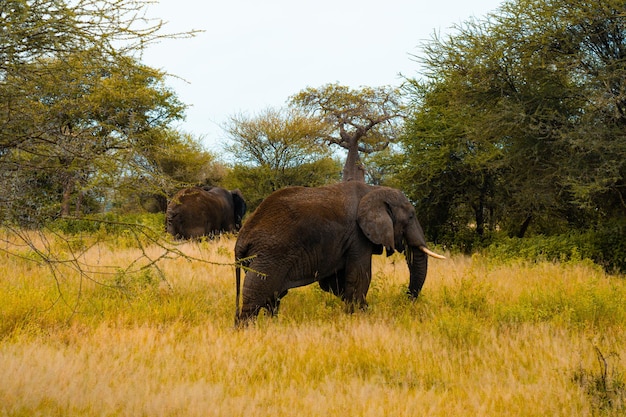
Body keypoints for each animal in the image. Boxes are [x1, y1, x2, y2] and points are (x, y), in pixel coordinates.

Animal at [234, 182, 444, 324]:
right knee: (255, 296)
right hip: (268, 255)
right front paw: (361, 317)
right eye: (411, 216)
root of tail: (241, 239)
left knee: (273, 296)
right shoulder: (358, 236)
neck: (373, 190)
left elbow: (335, 283)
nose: (406, 301)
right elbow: (358, 278)